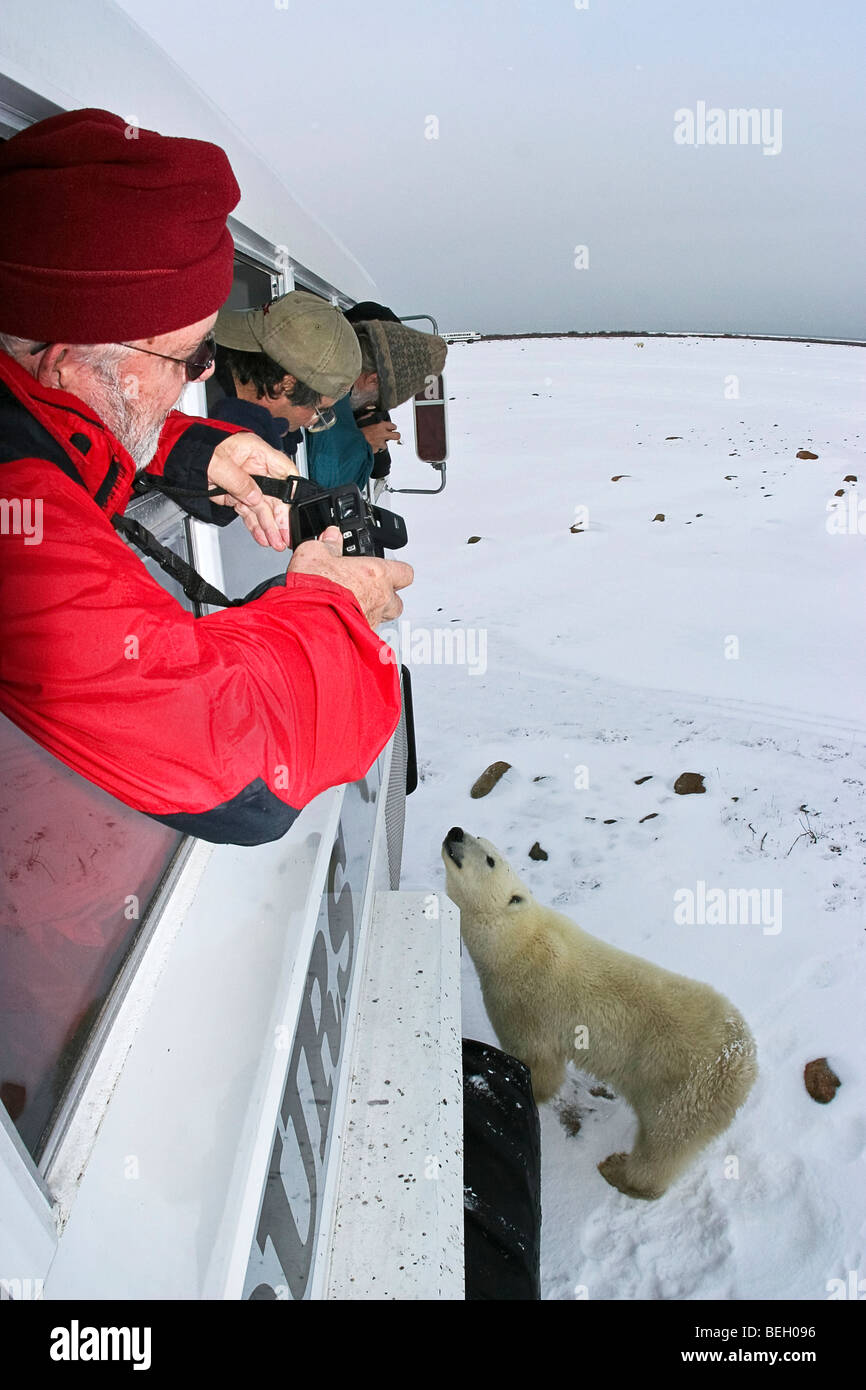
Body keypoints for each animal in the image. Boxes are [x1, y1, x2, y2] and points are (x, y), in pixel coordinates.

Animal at [444, 828, 756, 1200]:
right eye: (476, 835)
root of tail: (744, 1063)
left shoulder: (522, 1003)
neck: (515, 942)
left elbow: (538, 1064)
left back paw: (619, 1171)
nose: (455, 831)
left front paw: (530, 1094)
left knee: (663, 1146)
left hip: (684, 1093)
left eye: (490, 858)